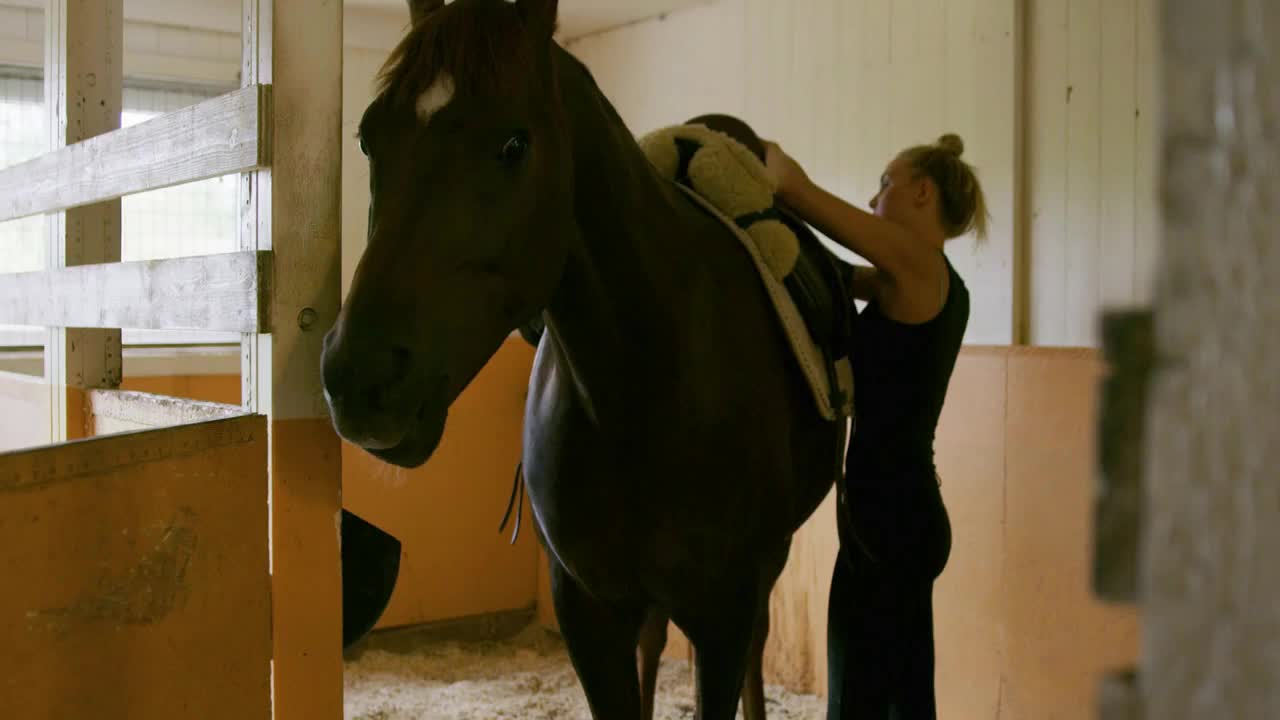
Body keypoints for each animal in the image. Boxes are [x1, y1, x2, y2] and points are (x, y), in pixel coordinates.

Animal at [317, 2, 839, 712]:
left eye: (514, 145)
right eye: (370, 139)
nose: (360, 377)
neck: (637, 387)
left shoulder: (724, 614)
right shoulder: (588, 612)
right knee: (652, 640)